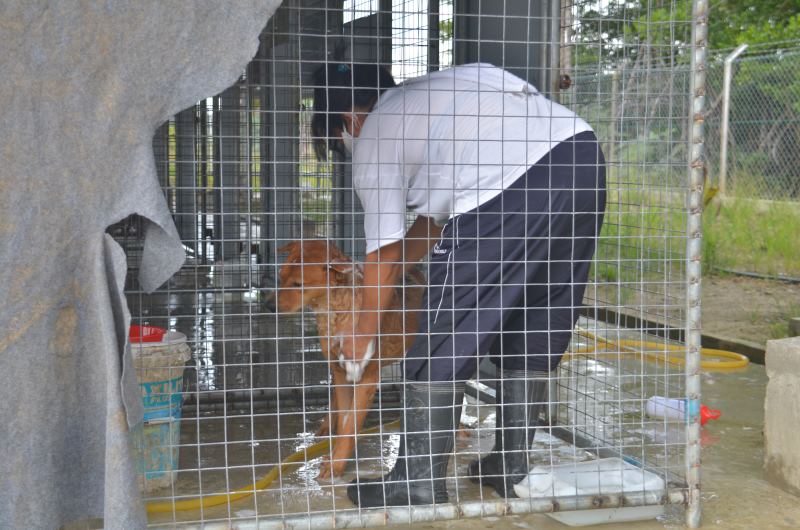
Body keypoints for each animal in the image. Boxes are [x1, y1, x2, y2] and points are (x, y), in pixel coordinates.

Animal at [268, 241, 424, 476]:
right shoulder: (340, 372)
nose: (268, 306)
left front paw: (336, 465)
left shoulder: (367, 379)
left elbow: (351, 425)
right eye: (280, 277)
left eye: (298, 284)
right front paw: (336, 456)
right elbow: (344, 421)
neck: (335, 312)